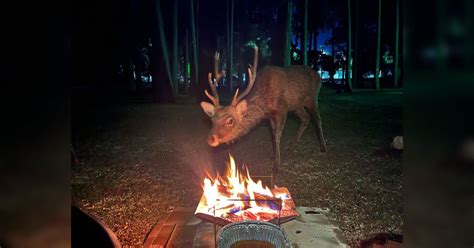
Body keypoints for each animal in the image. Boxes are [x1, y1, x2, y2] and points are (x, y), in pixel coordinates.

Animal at [200, 46, 326, 174]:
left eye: (230, 121)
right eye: (212, 120)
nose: (210, 139)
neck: (265, 103)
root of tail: (318, 76)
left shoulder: (282, 109)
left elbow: (277, 135)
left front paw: (276, 166)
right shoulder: (270, 115)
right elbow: (272, 133)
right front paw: (274, 155)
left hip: (312, 97)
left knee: (317, 118)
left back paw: (323, 147)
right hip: (297, 105)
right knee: (306, 118)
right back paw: (293, 144)